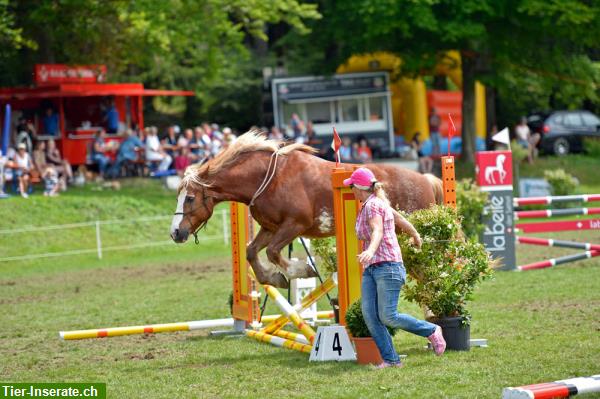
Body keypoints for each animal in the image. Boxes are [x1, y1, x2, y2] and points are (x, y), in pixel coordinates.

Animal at [171, 131, 442, 288]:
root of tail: (426, 179)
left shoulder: (295, 225)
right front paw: (274, 278)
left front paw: (301, 270)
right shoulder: (271, 228)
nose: (175, 233)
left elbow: (272, 253)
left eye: (190, 198)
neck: (268, 179)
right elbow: (251, 252)